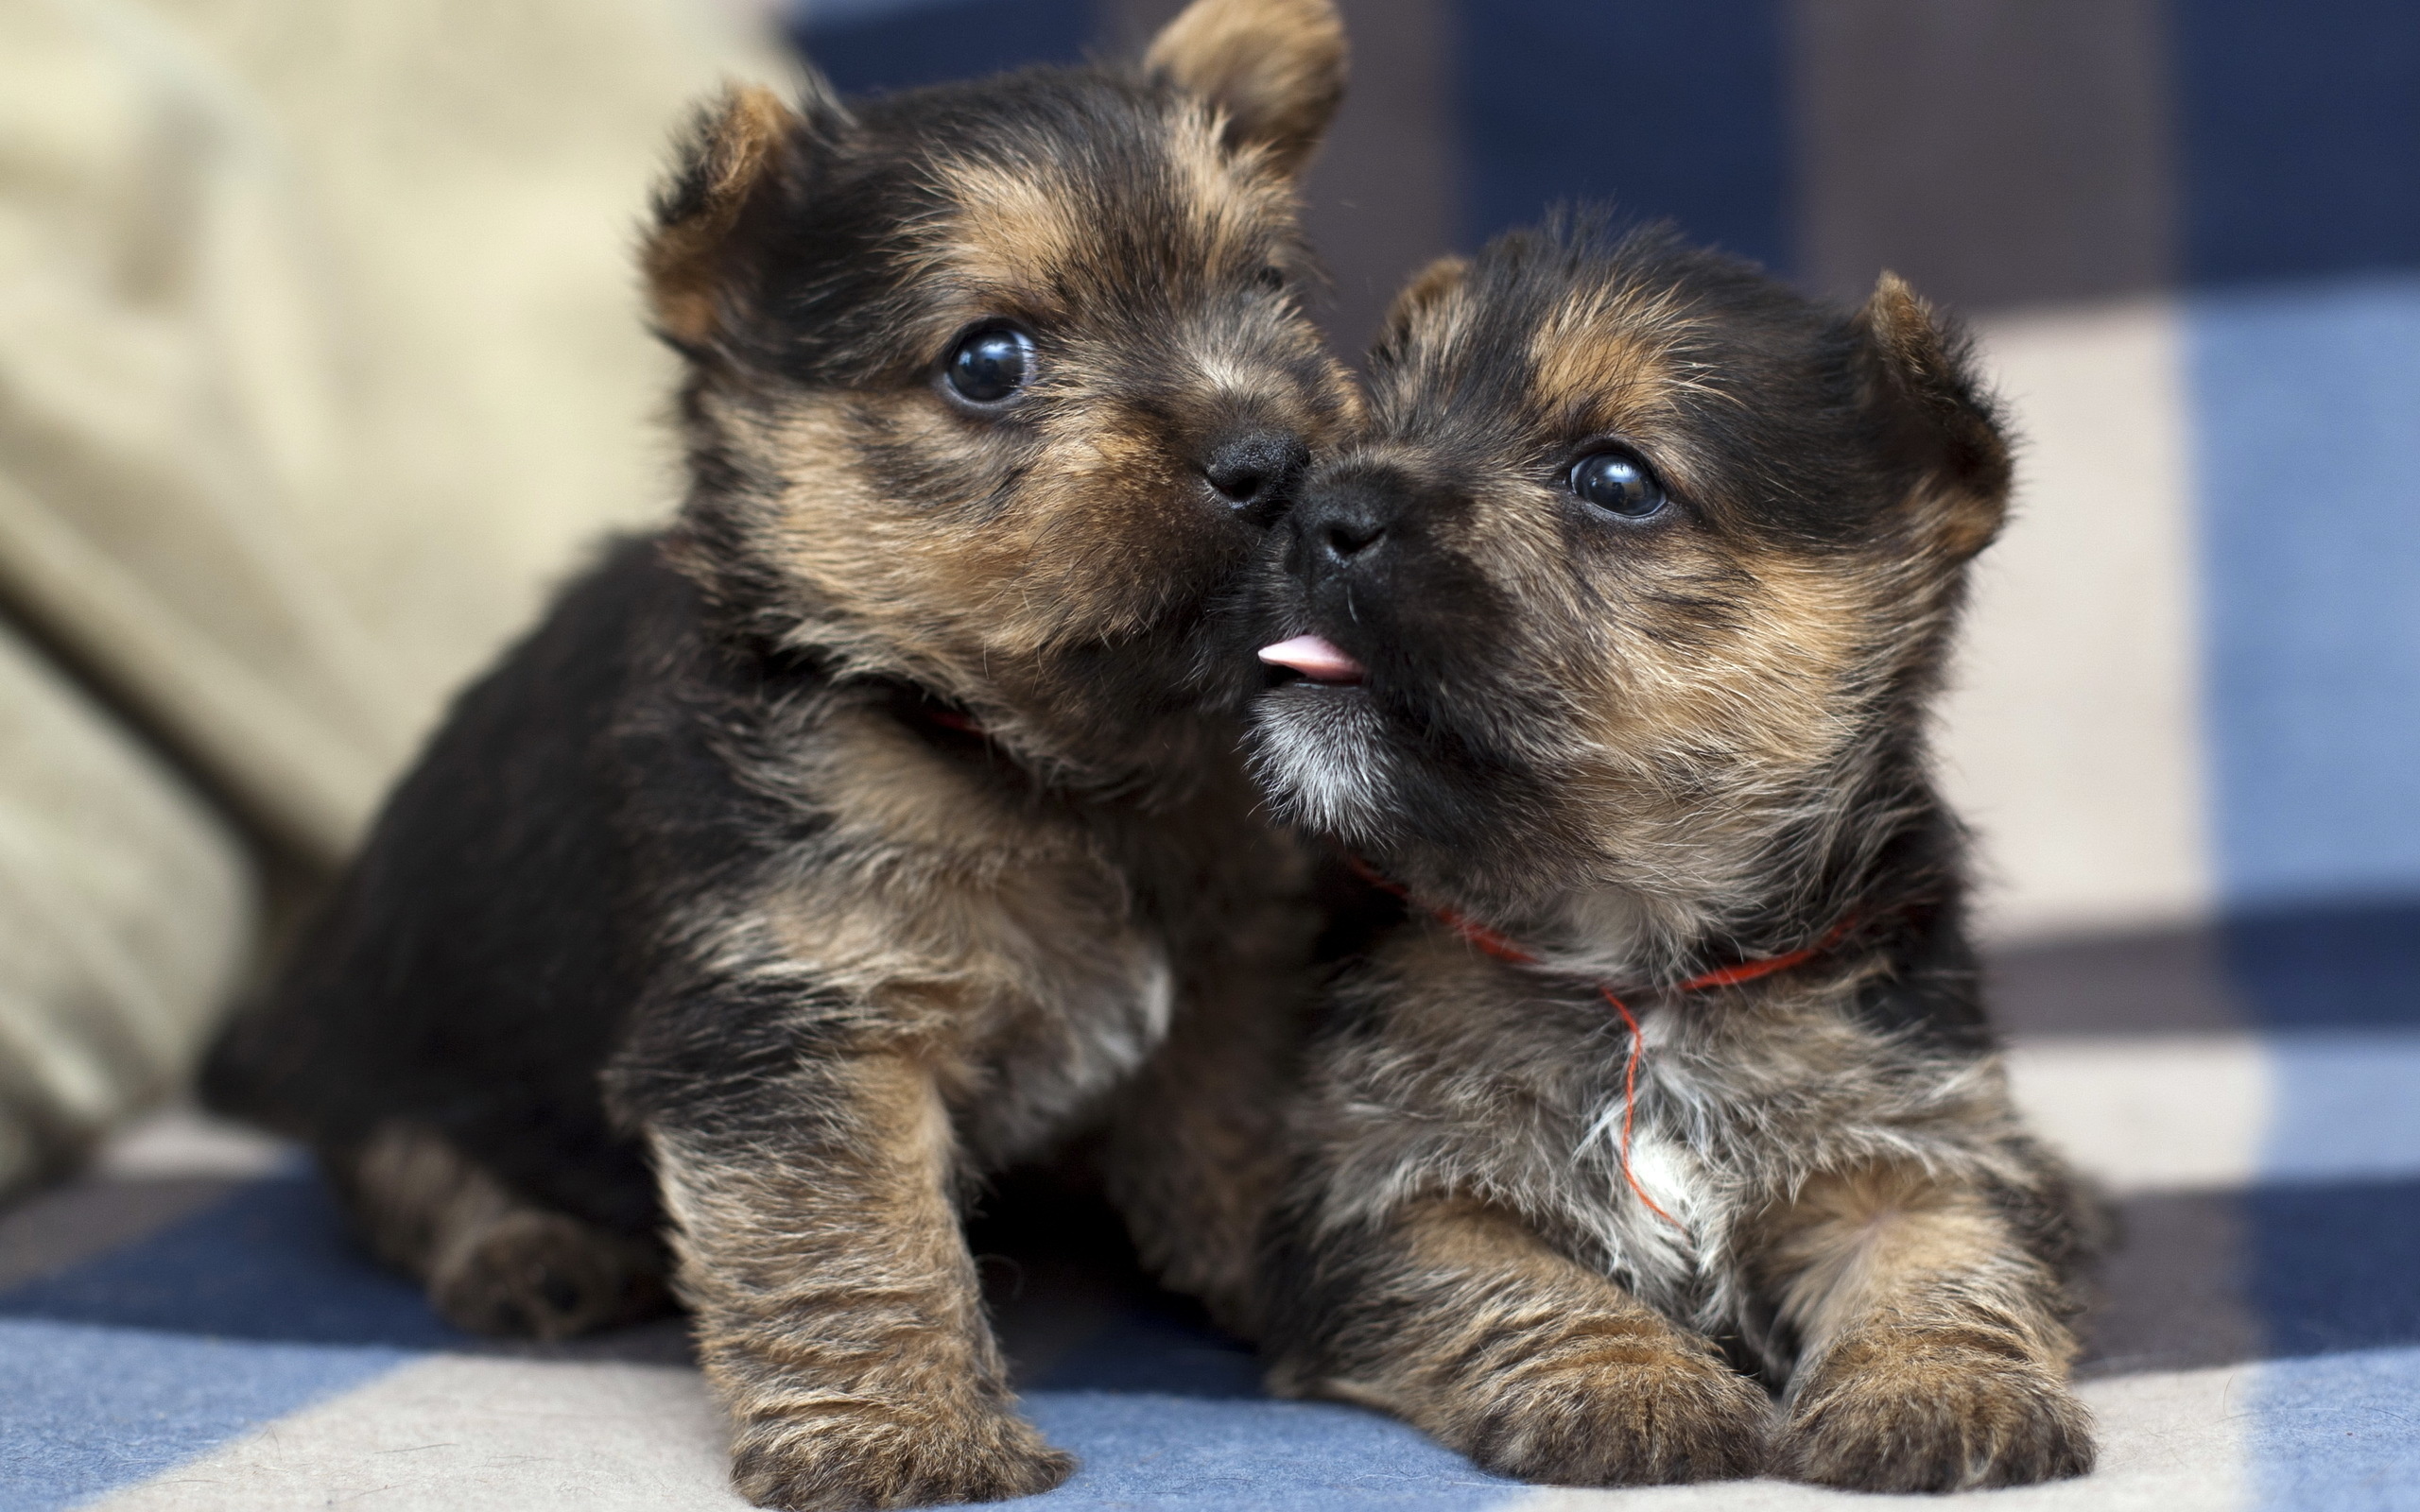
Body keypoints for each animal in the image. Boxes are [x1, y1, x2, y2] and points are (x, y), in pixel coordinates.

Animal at [203, 6, 1364, 1500]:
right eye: (988, 363)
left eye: (1268, 289)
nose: (1272, 454)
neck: (1016, 749)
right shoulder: (800, 1013)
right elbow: (852, 1237)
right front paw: (904, 1439)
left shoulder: (1227, 974)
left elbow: (1229, 1136)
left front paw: (1295, 1285)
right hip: (392, 1027)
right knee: (402, 1165)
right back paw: (526, 1250)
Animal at [1248, 227, 2100, 1500]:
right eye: (1378, 426)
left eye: (1614, 481)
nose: (1322, 507)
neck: (1635, 969)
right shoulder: (1377, 1188)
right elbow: (1500, 1272)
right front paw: (1627, 1380)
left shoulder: (1911, 1142)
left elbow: (1943, 1250)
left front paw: (1937, 1385)